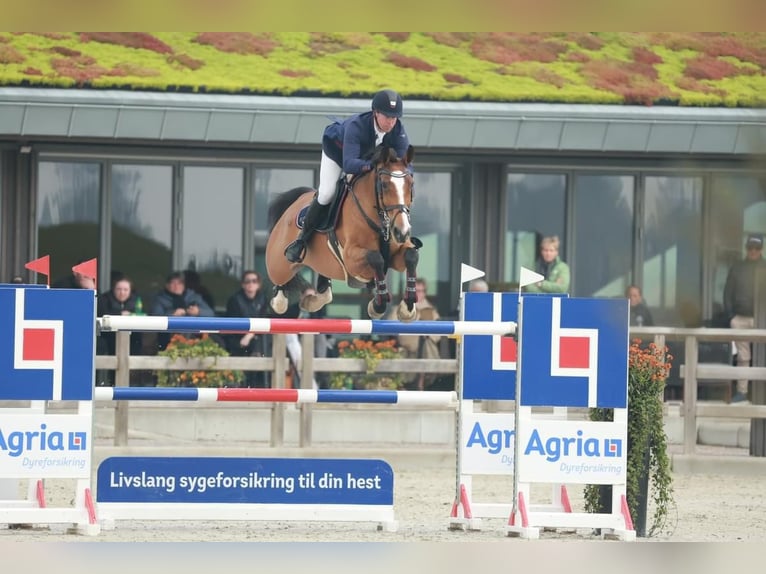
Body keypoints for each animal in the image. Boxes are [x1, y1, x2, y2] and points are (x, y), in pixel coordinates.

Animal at [264, 146, 420, 322]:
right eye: (384, 185)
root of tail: (296, 202)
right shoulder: (351, 258)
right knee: (279, 286)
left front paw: (407, 308)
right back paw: (281, 298)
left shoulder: (395, 253)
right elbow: (376, 258)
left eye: (411, 184)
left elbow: (411, 255)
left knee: (325, 292)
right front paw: (377, 306)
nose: (402, 232)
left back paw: (310, 302)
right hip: (278, 264)